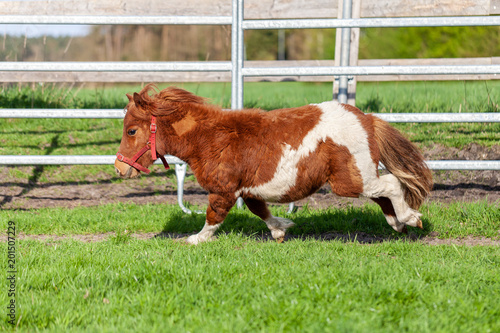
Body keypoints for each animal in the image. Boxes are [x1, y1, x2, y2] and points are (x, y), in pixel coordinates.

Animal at [115, 83, 432, 244]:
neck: (209, 138)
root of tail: (366, 118)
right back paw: (397, 224)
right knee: (384, 196)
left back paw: (410, 218)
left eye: (131, 131)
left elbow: (213, 216)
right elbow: (261, 210)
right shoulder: (247, 189)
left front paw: (196, 239)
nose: (119, 168)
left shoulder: (224, 190)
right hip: (359, 177)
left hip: (351, 180)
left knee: (391, 185)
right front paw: (281, 229)